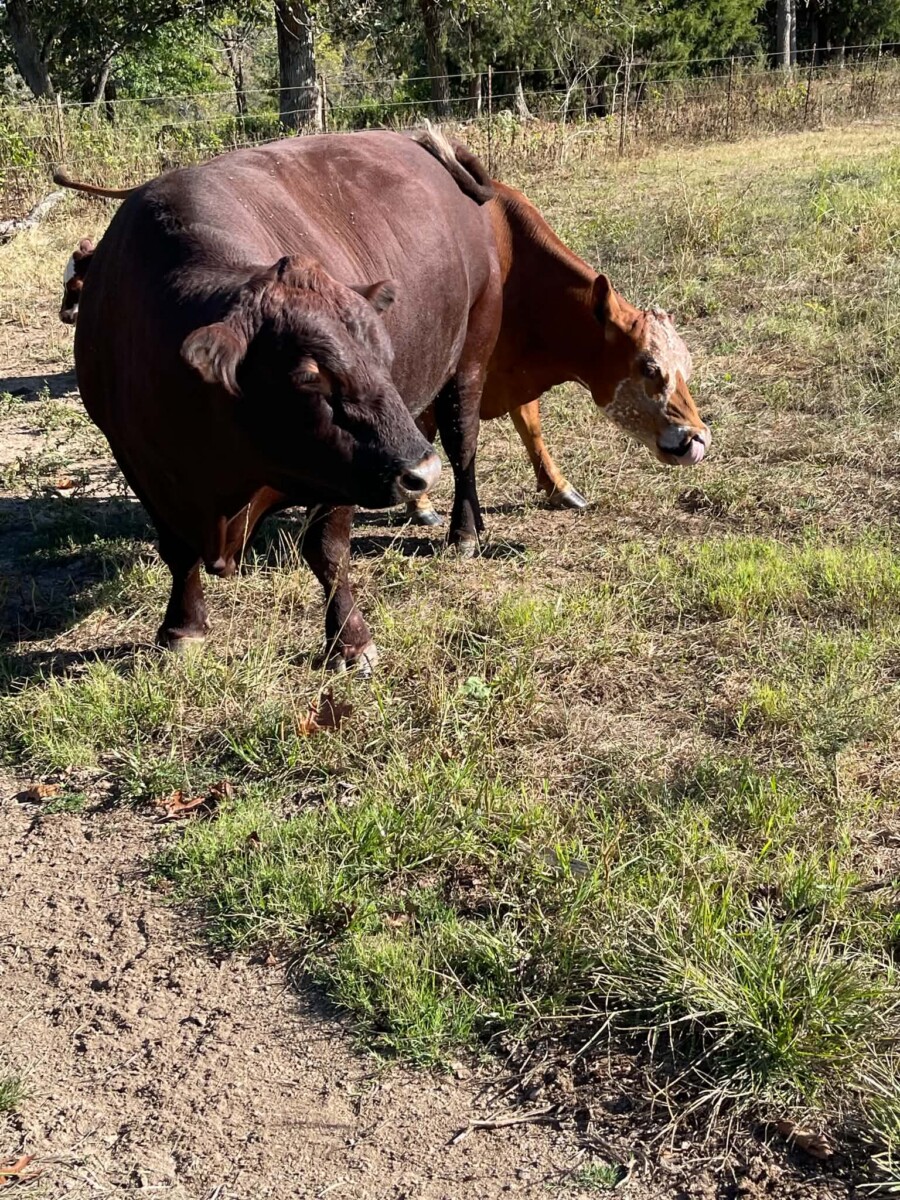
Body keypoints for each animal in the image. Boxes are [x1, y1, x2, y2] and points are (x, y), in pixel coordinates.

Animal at [70, 130, 501, 670]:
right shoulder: (140, 463)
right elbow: (177, 550)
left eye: (384, 355)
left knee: (463, 447)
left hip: (471, 358)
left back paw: (463, 531)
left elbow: (326, 549)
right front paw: (182, 628)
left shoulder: (342, 472)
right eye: (308, 378)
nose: (419, 470)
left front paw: (350, 640)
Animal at [404, 176, 709, 526]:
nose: (698, 438)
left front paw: (559, 487)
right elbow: (427, 431)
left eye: (687, 368)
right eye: (649, 368)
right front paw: (420, 504)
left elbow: (530, 426)